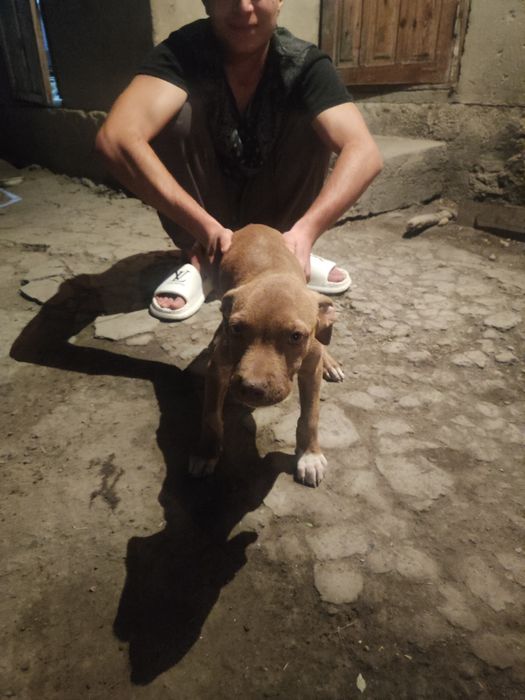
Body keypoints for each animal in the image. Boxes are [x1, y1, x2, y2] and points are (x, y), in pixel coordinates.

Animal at [189, 224, 344, 487]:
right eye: (237, 329)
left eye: (296, 336)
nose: (251, 388)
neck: (274, 271)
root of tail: (255, 226)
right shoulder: (218, 368)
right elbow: (210, 417)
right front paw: (206, 453)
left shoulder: (310, 370)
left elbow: (310, 416)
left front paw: (310, 456)